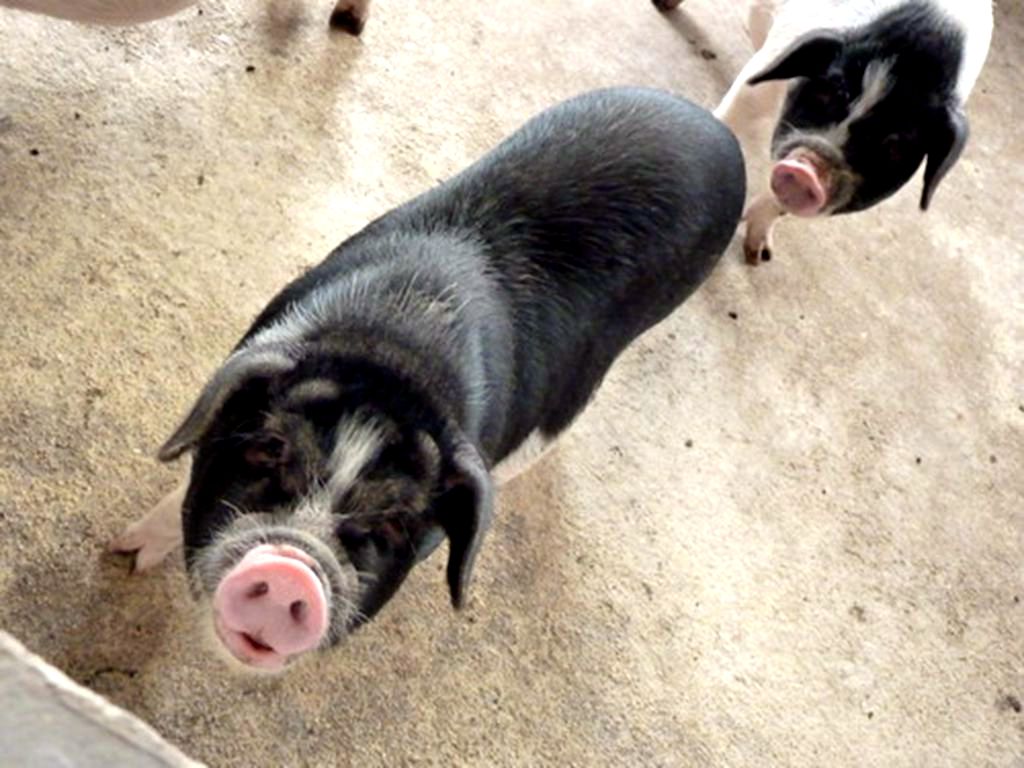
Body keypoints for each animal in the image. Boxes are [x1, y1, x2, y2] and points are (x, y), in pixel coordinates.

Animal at [110, 87, 746, 672]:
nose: (293, 569)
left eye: (396, 523)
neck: (400, 349)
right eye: (268, 449)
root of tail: (716, 128)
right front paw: (125, 554)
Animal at [656, 0, 992, 263]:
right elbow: (733, 118)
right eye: (824, 93)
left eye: (895, 146)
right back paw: (665, 6)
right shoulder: (763, 69)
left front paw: (759, 256)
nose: (808, 169)